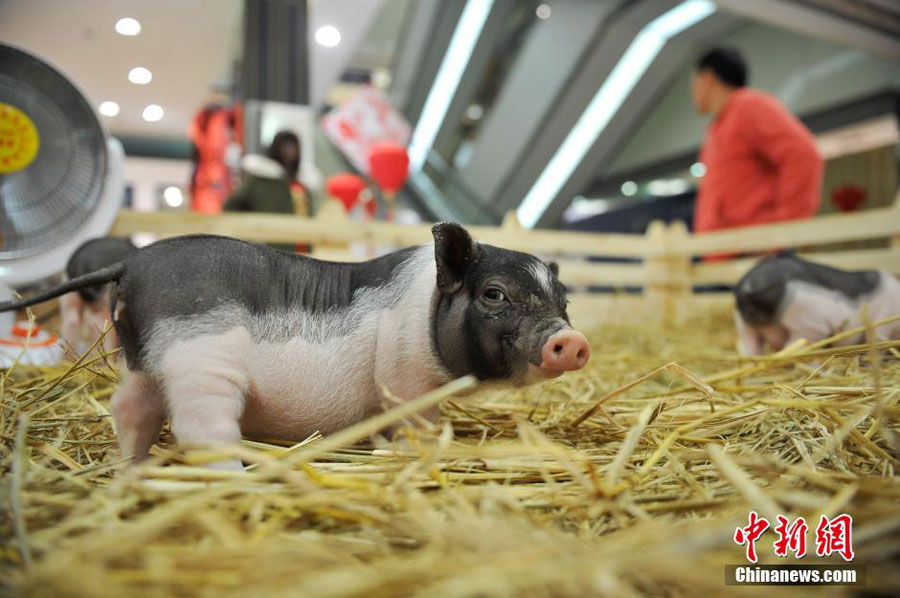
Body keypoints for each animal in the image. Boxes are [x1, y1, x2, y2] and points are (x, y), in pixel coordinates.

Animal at [0, 225, 592, 468]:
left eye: (564, 301)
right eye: (494, 294)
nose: (572, 339)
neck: (424, 311)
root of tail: (131, 263)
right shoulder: (406, 384)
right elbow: (416, 427)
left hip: (143, 354)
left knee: (129, 405)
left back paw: (134, 471)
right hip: (201, 356)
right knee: (201, 428)